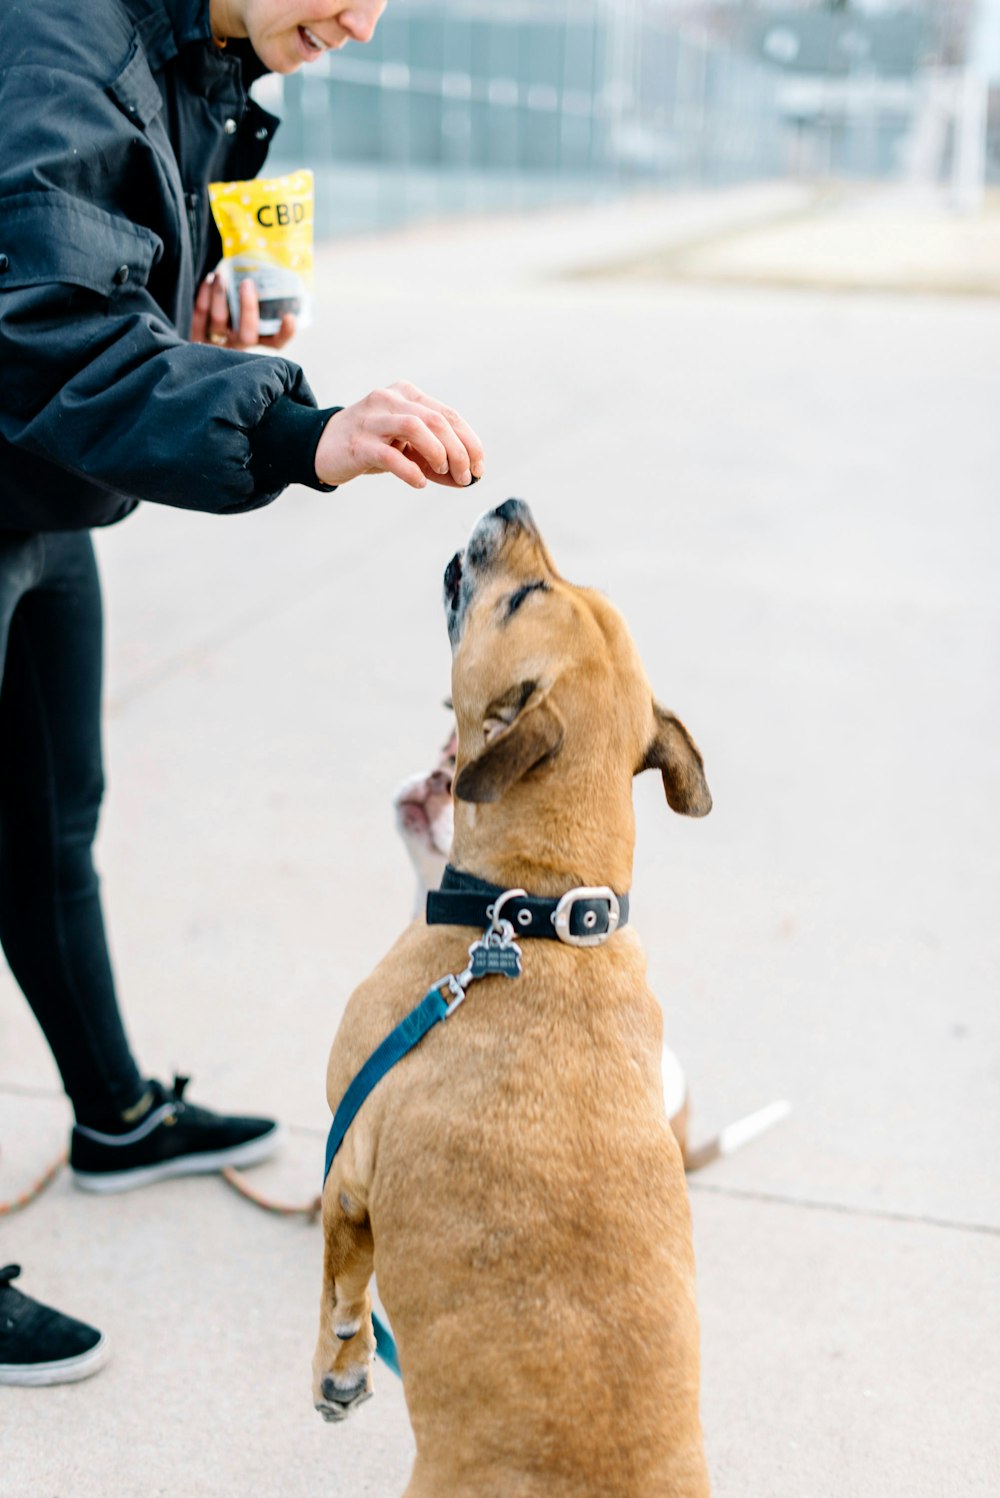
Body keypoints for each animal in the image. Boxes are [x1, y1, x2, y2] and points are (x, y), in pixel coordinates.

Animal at [315, 503, 715, 1498]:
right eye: (564, 585)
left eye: (524, 595)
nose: (512, 505)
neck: (540, 911)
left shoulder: (346, 1167)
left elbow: (340, 1290)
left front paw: (336, 1372)